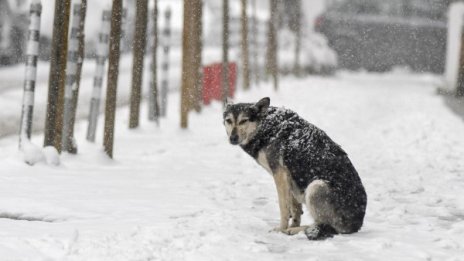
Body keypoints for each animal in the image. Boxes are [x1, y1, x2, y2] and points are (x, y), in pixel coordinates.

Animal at [223, 97, 368, 240]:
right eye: (229, 121)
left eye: (244, 121)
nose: (233, 138)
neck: (267, 127)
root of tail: (357, 224)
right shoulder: (289, 178)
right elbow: (295, 207)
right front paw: (293, 223)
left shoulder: (280, 175)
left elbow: (283, 207)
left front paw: (281, 229)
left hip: (316, 186)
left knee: (328, 226)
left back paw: (295, 231)